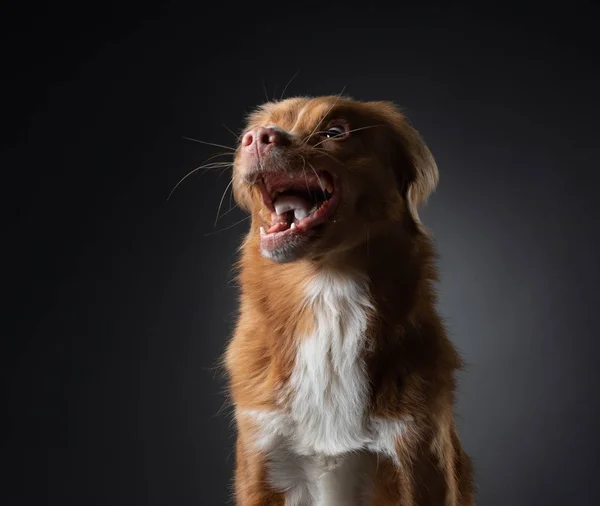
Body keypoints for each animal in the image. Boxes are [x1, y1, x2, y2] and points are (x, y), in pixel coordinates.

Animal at [224, 96, 474, 506]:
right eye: (263, 127)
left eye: (334, 132)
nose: (257, 138)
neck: (329, 293)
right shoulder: (261, 457)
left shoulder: (420, 458)